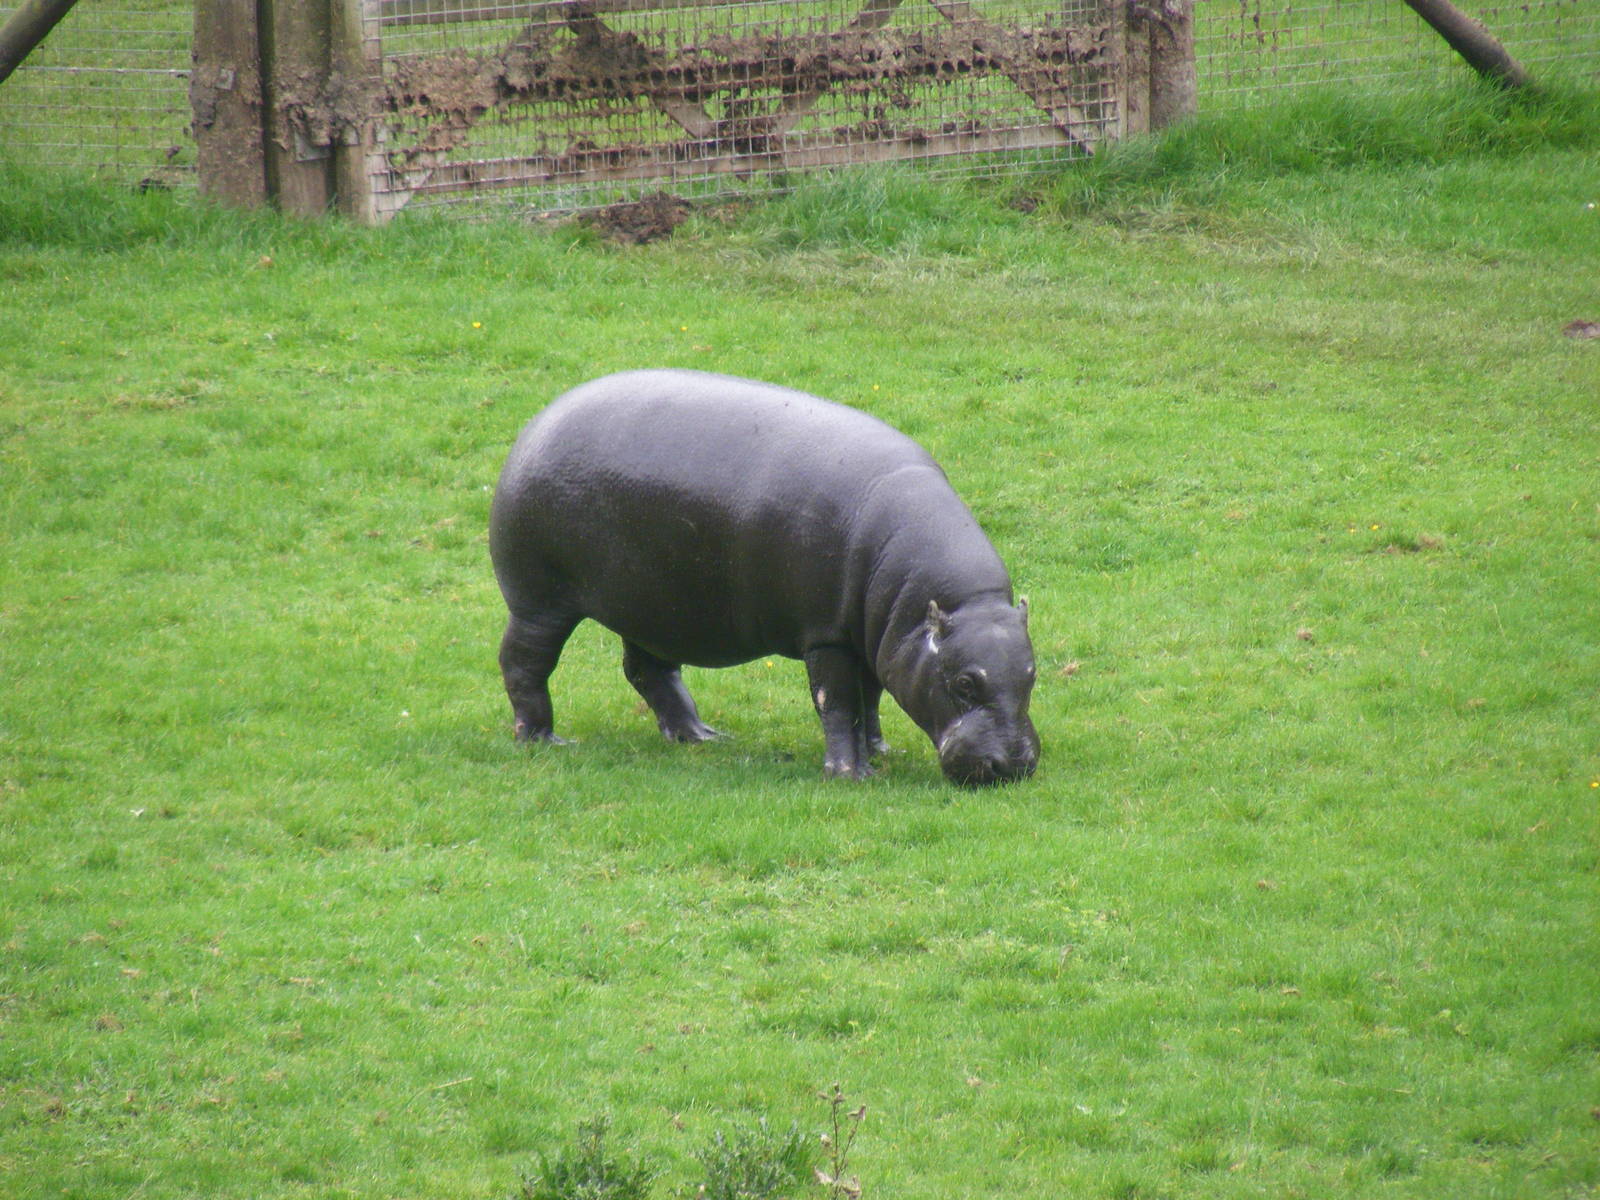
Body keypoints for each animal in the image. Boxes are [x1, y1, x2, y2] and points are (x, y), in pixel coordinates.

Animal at [488, 369, 1039, 785]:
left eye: (1032, 675)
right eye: (964, 683)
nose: (1013, 764)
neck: (952, 604)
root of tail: (534, 426)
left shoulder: (874, 637)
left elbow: (873, 696)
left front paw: (882, 753)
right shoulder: (827, 636)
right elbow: (839, 701)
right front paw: (851, 775)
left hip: (650, 605)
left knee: (648, 670)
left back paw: (700, 735)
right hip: (539, 600)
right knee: (524, 662)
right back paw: (545, 739)